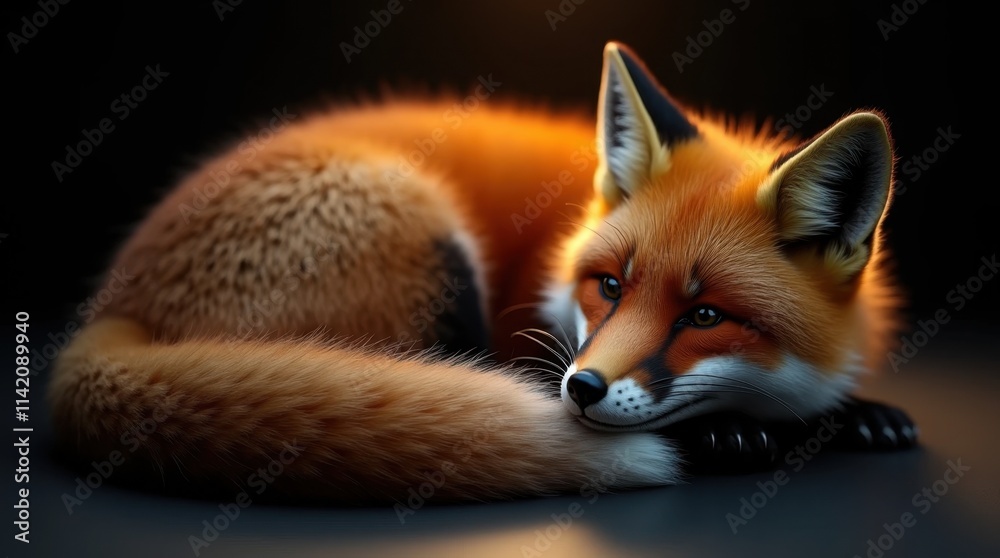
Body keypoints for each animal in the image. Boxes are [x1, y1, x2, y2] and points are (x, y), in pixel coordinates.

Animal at [49, 42, 916, 504]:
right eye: (610, 286)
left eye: (705, 315)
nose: (583, 389)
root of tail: (114, 297)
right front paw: (737, 432)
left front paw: (857, 413)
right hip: (432, 250)